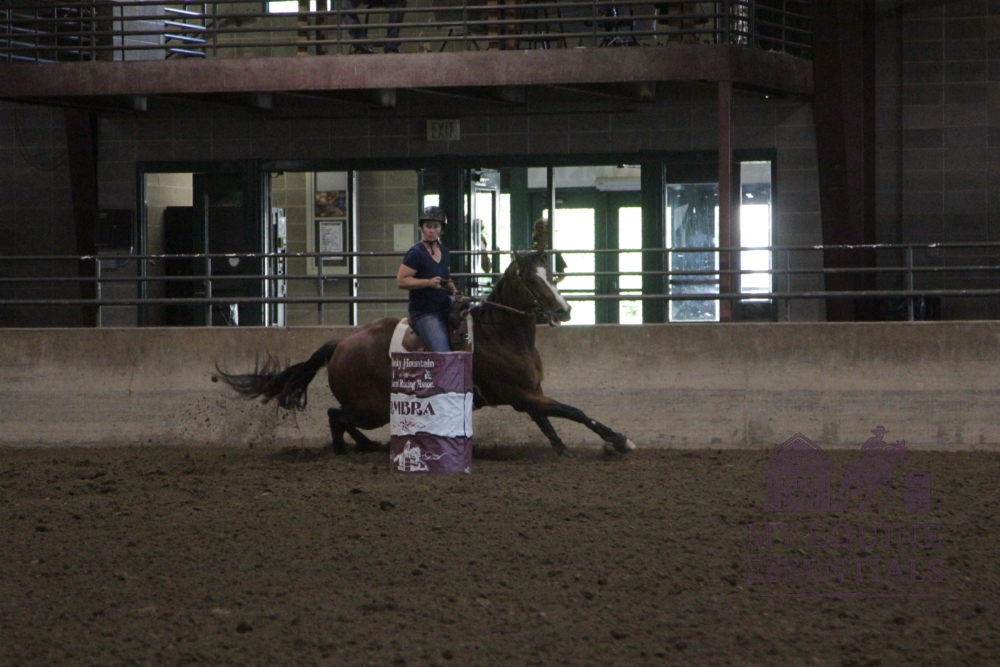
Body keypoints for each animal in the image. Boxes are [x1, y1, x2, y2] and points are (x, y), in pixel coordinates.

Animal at [216, 250, 636, 457]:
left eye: (552, 275)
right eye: (533, 280)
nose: (565, 310)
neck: (503, 336)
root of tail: (342, 343)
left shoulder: (529, 395)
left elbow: (549, 421)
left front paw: (562, 449)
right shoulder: (520, 395)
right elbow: (574, 411)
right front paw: (619, 440)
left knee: (339, 418)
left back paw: (365, 446)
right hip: (372, 408)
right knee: (336, 416)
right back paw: (350, 447)